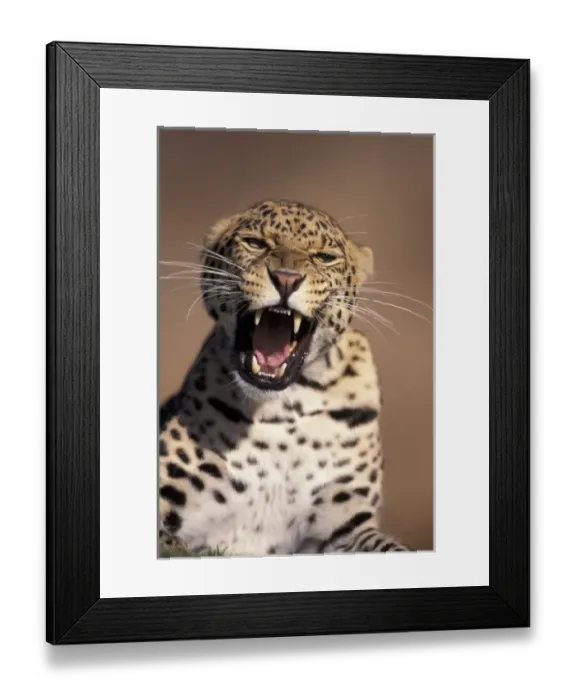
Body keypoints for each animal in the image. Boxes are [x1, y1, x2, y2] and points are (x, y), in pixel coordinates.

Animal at [158, 199, 410, 557]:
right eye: (255, 243)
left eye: (324, 257)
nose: (286, 279)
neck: (285, 404)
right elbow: (173, 543)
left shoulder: (347, 527)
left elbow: (392, 549)